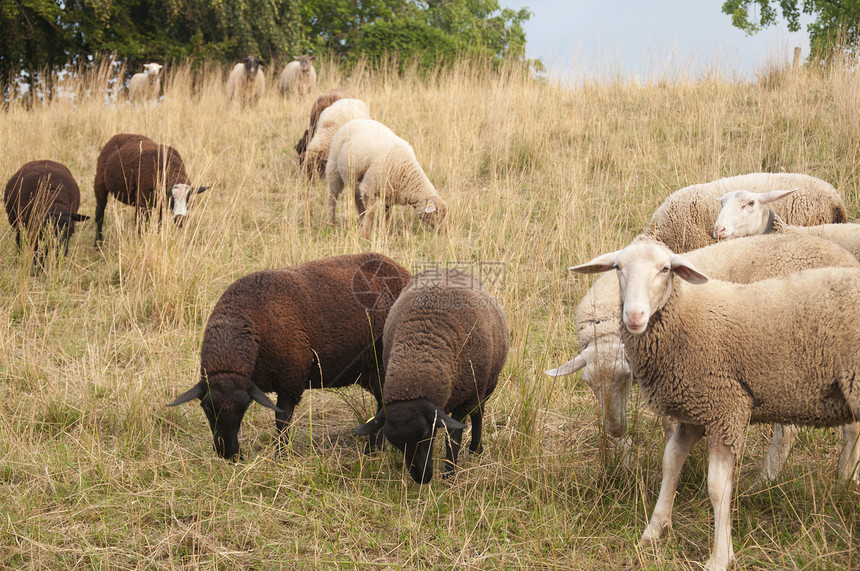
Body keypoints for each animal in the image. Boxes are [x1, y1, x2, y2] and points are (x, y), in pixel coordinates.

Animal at [169, 255, 414, 460]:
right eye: (206, 408)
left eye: (244, 409)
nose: (228, 454)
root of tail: (402, 270)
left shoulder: (291, 379)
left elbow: (282, 421)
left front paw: (281, 455)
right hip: (369, 370)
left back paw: (373, 450)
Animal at [352, 268, 508, 482]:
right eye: (396, 444)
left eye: (427, 433)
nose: (422, 478)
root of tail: (447, 269)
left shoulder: (465, 401)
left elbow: (454, 439)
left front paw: (449, 476)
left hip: (486, 385)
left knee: (479, 413)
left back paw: (476, 449)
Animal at [572, 237, 860, 571]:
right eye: (618, 267)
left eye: (665, 269)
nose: (634, 316)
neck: (686, 316)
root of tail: (846, 257)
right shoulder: (693, 412)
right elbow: (670, 463)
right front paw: (654, 530)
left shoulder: (726, 410)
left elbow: (717, 487)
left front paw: (720, 556)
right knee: (850, 431)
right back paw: (844, 481)